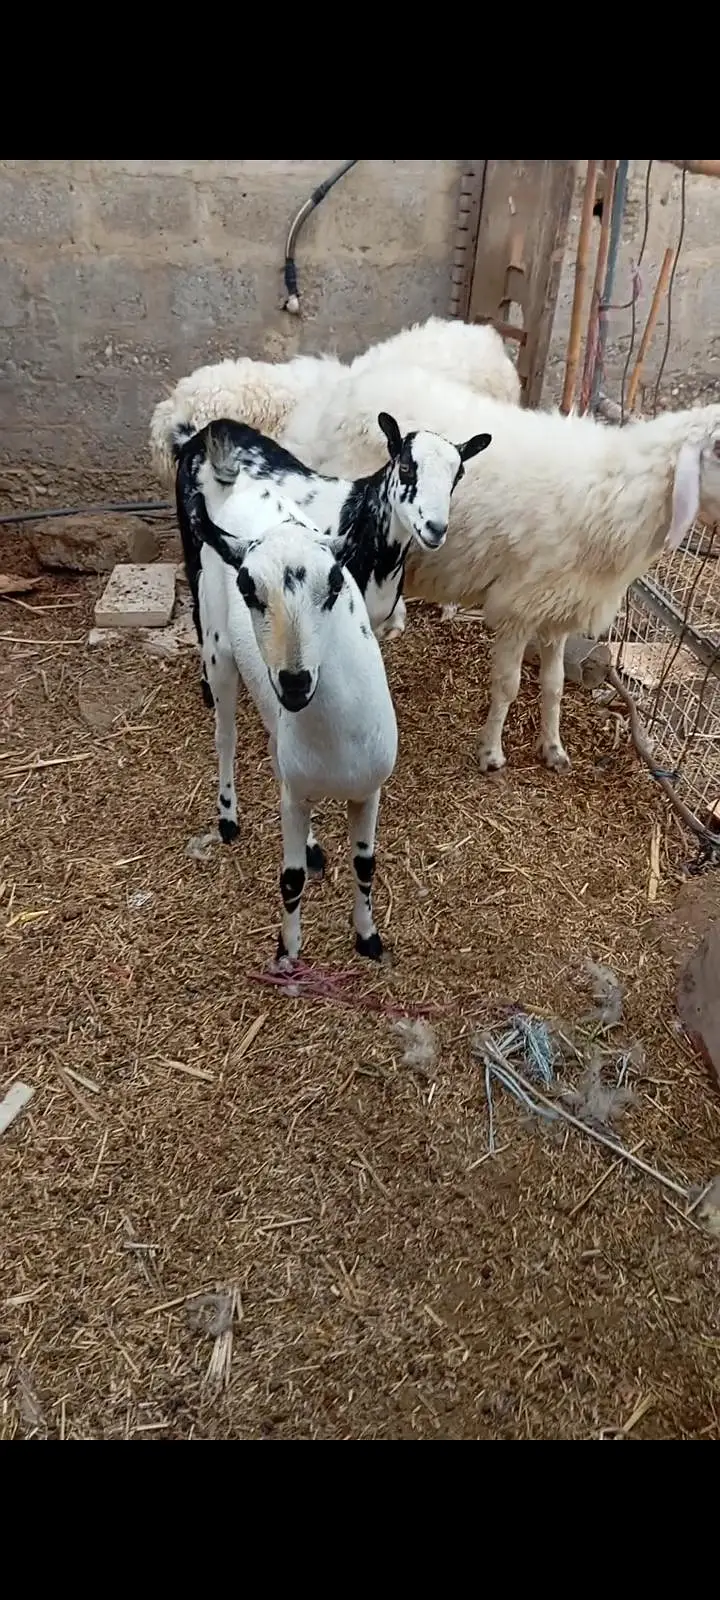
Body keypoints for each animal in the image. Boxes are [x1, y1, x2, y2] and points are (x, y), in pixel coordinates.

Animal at [175, 440, 399, 967]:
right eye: (247, 586)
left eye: (337, 583)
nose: (295, 681)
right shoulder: (296, 796)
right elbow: (290, 878)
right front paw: (288, 953)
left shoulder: (368, 791)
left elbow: (366, 864)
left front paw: (368, 938)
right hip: (217, 652)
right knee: (226, 737)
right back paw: (228, 816)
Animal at [279, 366, 720, 774]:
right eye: (717, 448)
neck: (614, 494)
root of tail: (342, 386)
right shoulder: (519, 607)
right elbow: (509, 686)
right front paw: (491, 754)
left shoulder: (559, 607)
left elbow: (554, 686)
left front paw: (554, 749)